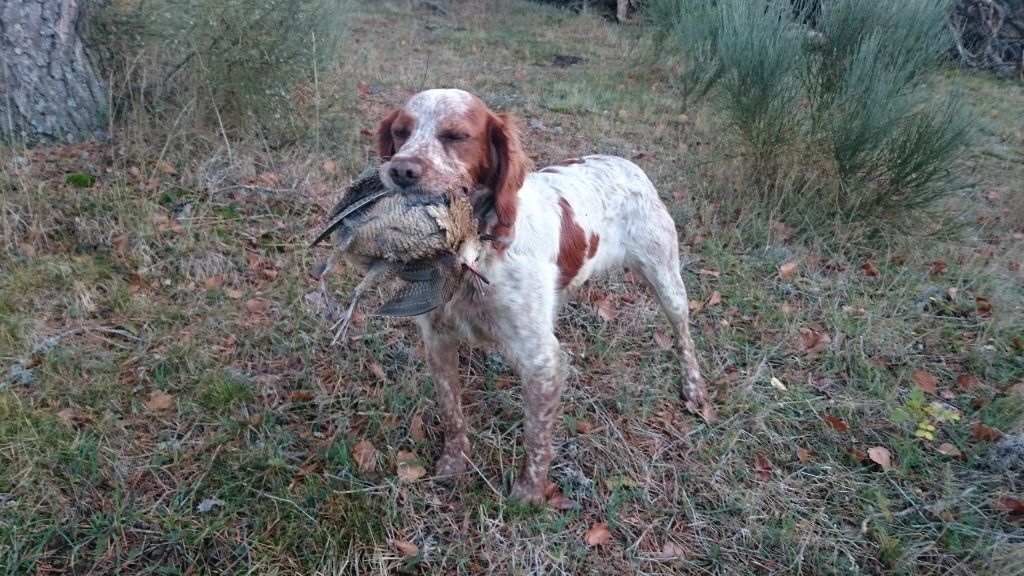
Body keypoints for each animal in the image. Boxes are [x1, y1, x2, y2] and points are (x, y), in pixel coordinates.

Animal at [372, 86, 716, 502]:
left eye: (456, 136)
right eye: (401, 133)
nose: (401, 171)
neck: (477, 250)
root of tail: (627, 163)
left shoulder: (541, 359)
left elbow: (536, 433)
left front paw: (530, 492)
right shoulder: (437, 338)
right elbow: (452, 411)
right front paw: (454, 463)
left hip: (666, 279)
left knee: (684, 337)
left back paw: (694, 389)